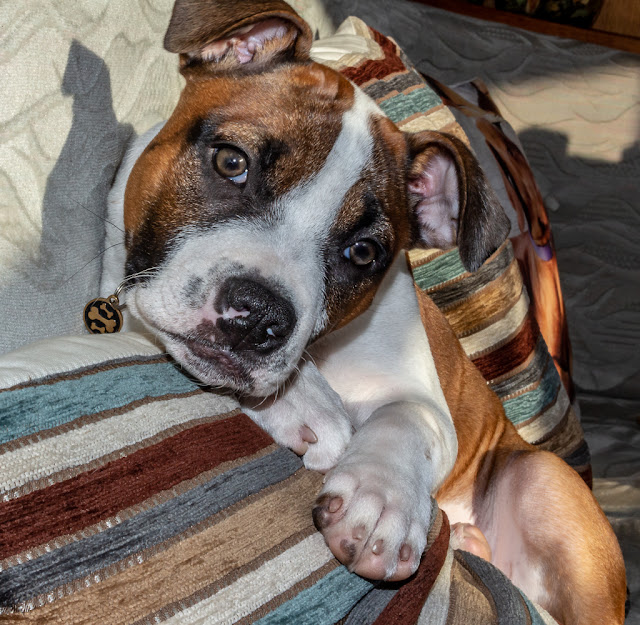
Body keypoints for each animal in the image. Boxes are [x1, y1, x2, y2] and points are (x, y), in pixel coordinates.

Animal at [102, 2, 628, 620]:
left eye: (362, 253)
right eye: (232, 161)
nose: (257, 315)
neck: (327, 353)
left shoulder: (428, 403)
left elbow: (406, 420)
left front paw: (380, 500)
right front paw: (305, 401)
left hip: (542, 479)